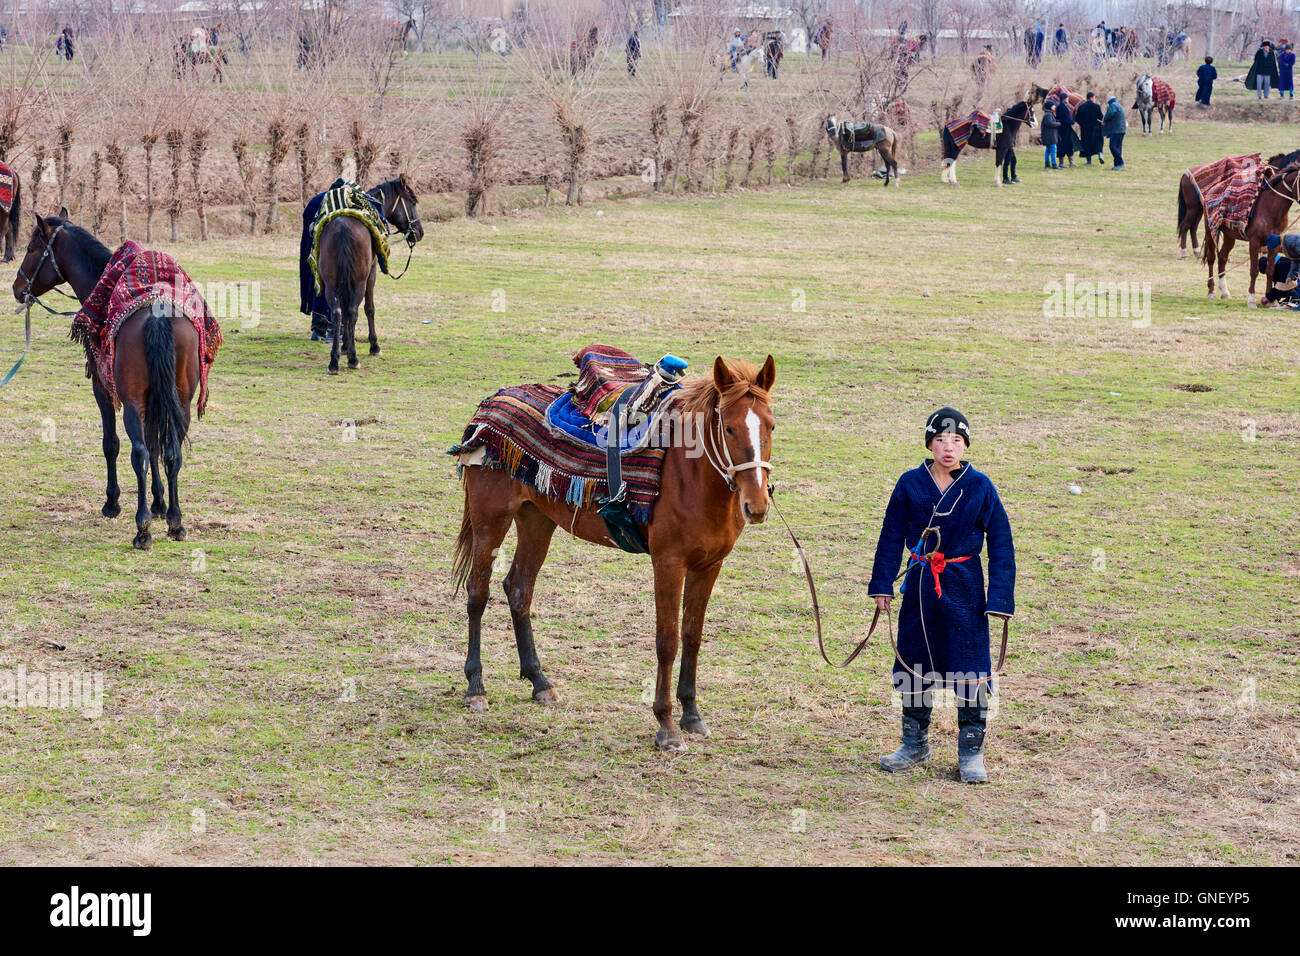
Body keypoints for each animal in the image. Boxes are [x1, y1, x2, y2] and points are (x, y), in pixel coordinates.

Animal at [13, 212, 220, 548]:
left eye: (32, 249)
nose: (17, 287)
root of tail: (157, 315)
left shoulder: (102, 389)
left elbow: (112, 444)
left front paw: (113, 503)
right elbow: (157, 444)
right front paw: (160, 504)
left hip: (133, 402)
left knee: (139, 453)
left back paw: (142, 529)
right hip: (182, 401)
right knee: (171, 451)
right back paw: (176, 522)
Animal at [319, 174, 426, 374]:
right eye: (412, 201)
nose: (419, 232)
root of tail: (342, 226)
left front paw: (345, 346)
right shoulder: (372, 273)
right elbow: (369, 309)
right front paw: (373, 346)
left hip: (331, 282)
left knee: (338, 313)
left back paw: (334, 361)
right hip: (359, 280)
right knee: (352, 311)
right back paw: (353, 359)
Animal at [452, 356, 774, 749]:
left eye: (771, 426)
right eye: (728, 428)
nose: (756, 505)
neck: (691, 475)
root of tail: (489, 407)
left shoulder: (709, 566)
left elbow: (692, 637)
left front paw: (692, 715)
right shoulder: (668, 564)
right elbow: (667, 641)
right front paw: (666, 726)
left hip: (536, 519)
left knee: (518, 589)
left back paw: (540, 682)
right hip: (490, 519)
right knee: (477, 593)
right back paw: (476, 688)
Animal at [1196, 160, 1300, 303]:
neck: (1271, 207)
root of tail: (1209, 192)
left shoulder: (1274, 243)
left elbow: (1270, 270)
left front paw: (1270, 300)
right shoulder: (1254, 242)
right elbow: (1254, 270)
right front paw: (1251, 300)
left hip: (1229, 236)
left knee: (1222, 257)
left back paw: (1225, 292)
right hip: (1210, 232)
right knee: (1211, 258)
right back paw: (1211, 292)